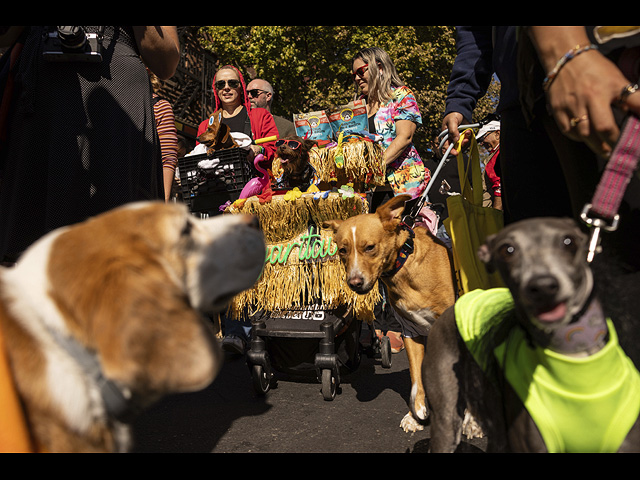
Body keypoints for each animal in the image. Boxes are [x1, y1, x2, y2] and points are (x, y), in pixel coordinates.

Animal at [324, 193, 456, 434]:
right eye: (342, 250)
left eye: (370, 247)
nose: (354, 283)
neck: (405, 265)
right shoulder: (412, 332)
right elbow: (416, 378)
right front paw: (417, 414)